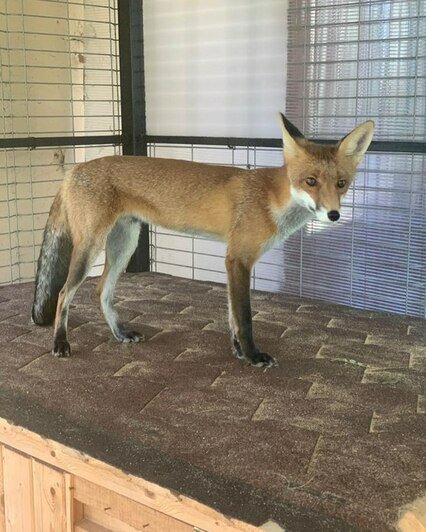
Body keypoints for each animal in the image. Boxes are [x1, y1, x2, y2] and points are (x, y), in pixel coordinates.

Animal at [32, 115, 372, 366]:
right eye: (310, 181)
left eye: (342, 184)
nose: (333, 215)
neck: (271, 200)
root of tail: (73, 171)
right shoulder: (239, 259)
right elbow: (244, 317)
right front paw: (252, 356)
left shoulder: (232, 261)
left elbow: (232, 316)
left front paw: (238, 352)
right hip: (90, 247)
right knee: (63, 293)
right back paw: (60, 342)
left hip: (124, 244)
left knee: (101, 291)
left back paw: (119, 334)